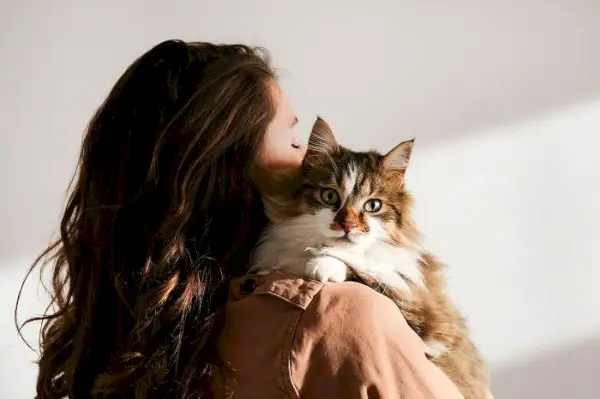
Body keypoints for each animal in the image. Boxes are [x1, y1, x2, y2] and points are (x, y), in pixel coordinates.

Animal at [251, 117, 490, 398]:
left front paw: (322, 264)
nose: (347, 225)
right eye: (329, 196)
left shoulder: (420, 313)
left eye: (373, 206)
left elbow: (364, 269)